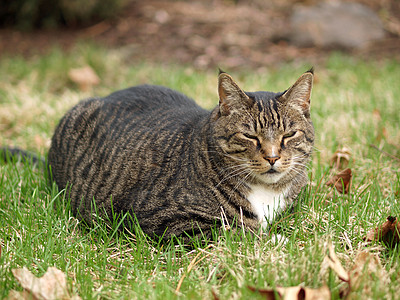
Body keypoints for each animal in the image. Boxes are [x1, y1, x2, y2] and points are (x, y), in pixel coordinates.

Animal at [22, 69, 316, 241]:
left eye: (289, 135)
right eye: (250, 136)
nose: (272, 157)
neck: (266, 192)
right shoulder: (161, 217)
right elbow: (236, 233)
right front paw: (276, 241)